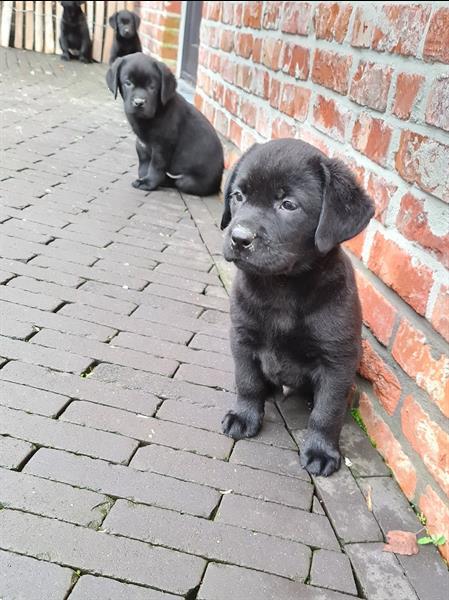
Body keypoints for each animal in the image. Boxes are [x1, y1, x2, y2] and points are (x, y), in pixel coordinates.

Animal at [105, 52, 224, 196]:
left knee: (178, 182)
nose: (139, 102)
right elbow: (143, 167)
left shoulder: (163, 146)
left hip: (188, 181)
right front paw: (144, 178)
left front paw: (148, 183)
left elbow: (156, 166)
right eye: (128, 83)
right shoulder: (142, 144)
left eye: (152, 87)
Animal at [221, 138, 374, 476]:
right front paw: (244, 416)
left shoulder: (338, 359)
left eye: (288, 205)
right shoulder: (242, 337)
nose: (238, 238)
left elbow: (328, 411)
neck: (282, 287)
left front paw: (321, 451)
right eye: (238, 196)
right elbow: (247, 381)